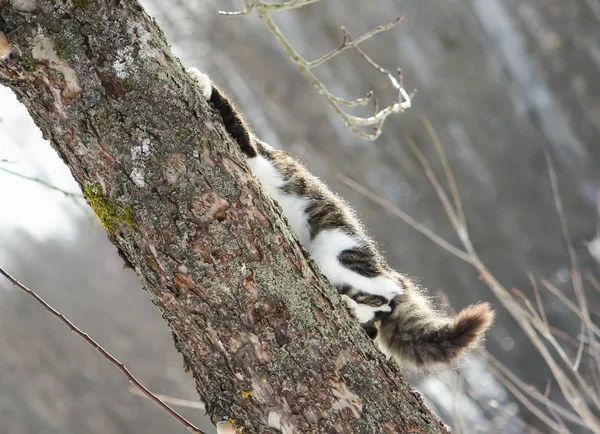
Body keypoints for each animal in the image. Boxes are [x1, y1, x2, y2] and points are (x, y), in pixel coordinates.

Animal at [186, 68, 492, 372]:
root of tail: (393, 272)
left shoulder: (252, 149)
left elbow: (230, 111)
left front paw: (201, 80)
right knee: (374, 324)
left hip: (338, 259)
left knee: (384, 299)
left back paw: (356, 305)